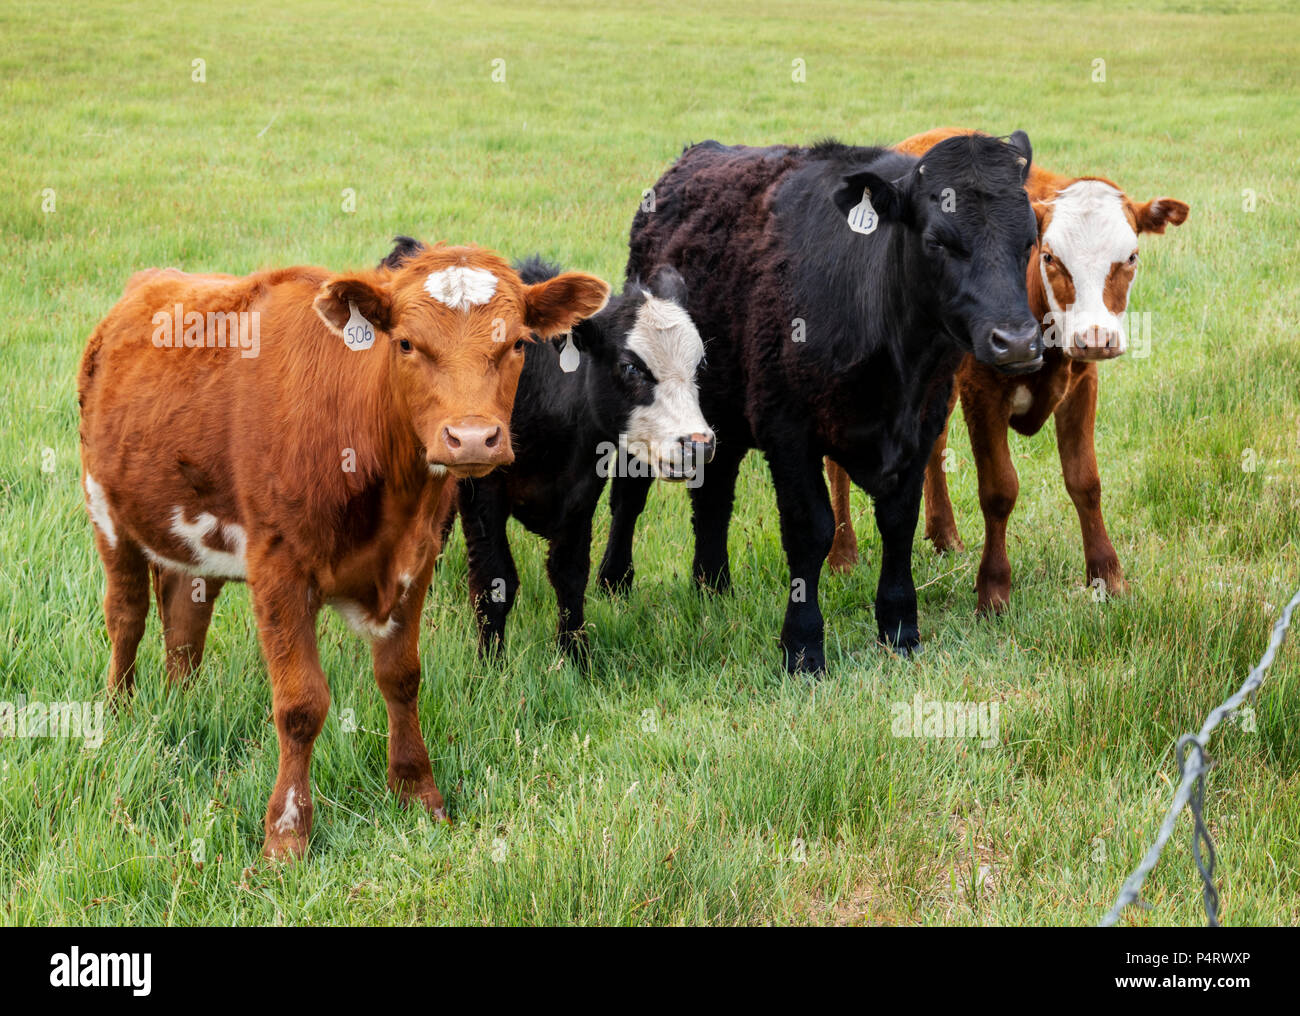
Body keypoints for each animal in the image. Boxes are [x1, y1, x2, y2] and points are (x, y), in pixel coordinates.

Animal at [77, 243, 610, 858]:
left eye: (518, 343)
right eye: (405, 343)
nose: (473, 438)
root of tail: (149, 283)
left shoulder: (414, 561)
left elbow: (402, 679)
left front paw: (418, 794)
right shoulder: (279, 567)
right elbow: (300, 704)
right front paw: (286, 834)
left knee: (186, 618)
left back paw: (181, 703)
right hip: (107, 512)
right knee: (127, 615)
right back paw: (120, 712)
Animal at [382, 239, 714, 661]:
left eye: (700, 364)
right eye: (630, 367)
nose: (698, 443)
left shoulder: (582, 490)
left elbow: (570, 574)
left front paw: (575, 656)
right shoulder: (483, 488)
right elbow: (494, 580)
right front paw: (491, 663)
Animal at [595, 132, 1044, 672]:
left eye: (1030, 239)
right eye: (937, 241)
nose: (1017, 342)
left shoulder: (923, 425)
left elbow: (899, 522)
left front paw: (900, 629)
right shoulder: (789, 432)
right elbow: (811, 531)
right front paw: (803, 648)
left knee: (714, 496)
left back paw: (713, 587)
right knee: (631, 493)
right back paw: (614, 581)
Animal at [825, 127, 1189, 614]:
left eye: (1130, 256)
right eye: (1049, 256)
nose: (1095, 337)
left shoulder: (1082, 385)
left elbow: (1085, 481)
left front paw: (1107, 578)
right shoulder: (984, 393)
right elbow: (999, 490)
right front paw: (994, 591)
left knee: (934, 445)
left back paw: (944, 535)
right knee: (837, 462)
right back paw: (842, 554)